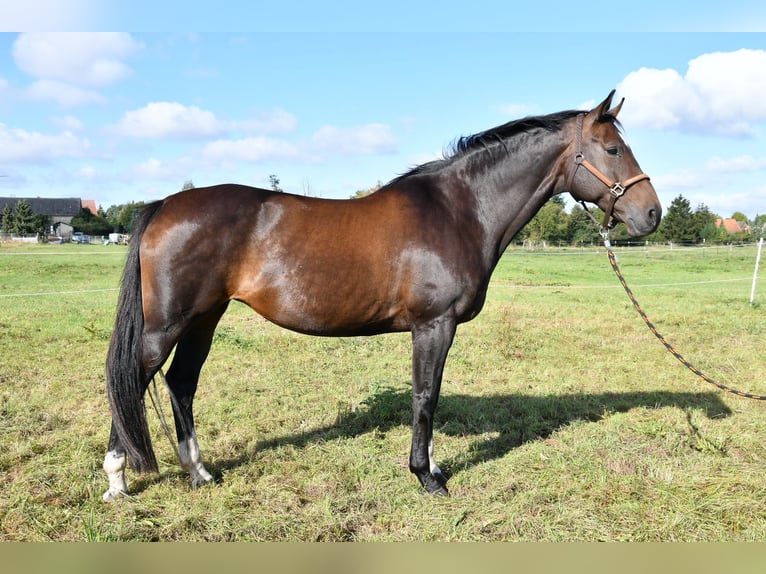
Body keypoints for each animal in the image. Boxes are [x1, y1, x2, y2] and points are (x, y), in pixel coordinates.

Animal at [103, 88, 660, 502]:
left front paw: (432, 465)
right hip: (166, 325)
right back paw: (117, 480)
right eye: (613, 149)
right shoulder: (433, 324)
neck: (458, 210)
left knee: (181, 384)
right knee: (132, 380)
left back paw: (198, 473)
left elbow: (432, 395)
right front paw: (426, 477)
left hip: (204, 318)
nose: (651, 214)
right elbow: (425, 395)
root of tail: (164, 205)